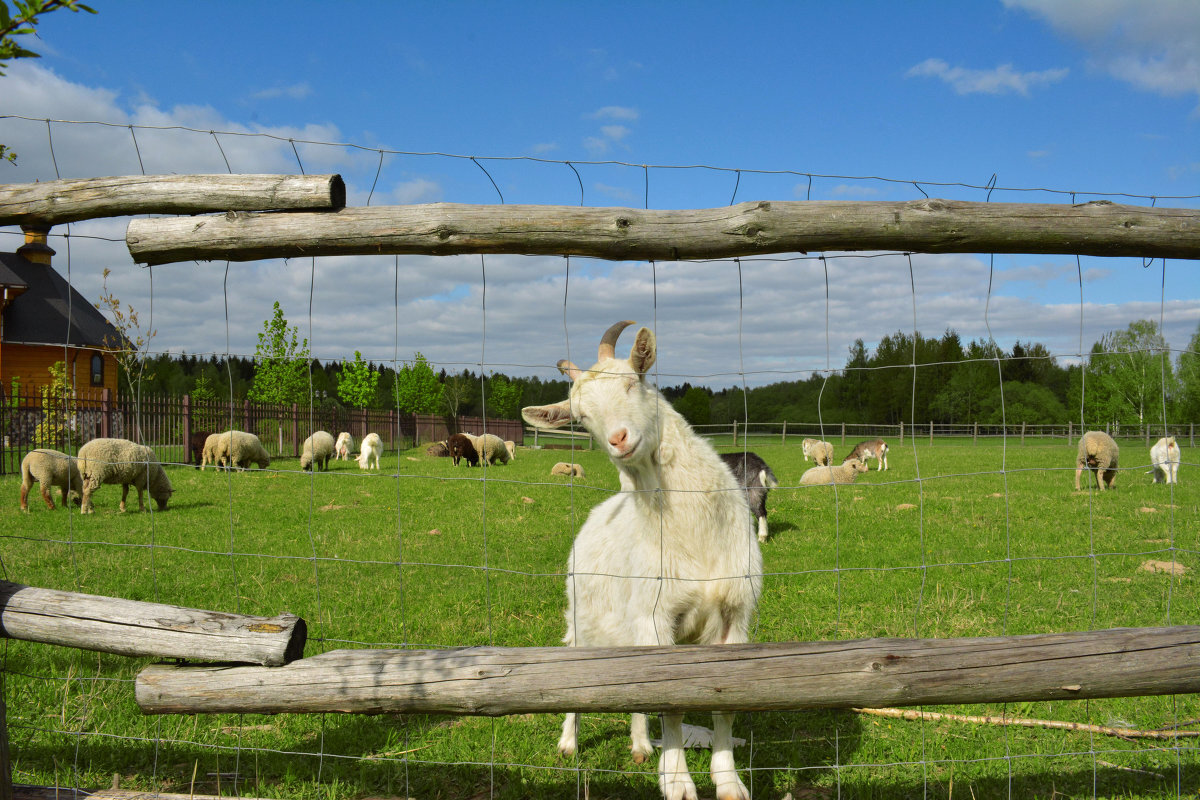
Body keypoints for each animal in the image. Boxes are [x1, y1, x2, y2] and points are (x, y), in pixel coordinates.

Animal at [523, 319, 763, 800]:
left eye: (633, 381)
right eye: (580, 416)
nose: (619, 440)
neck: (694, 532)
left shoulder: (734, 613)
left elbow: (724, 704)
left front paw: (728, 781)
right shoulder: (655, 618)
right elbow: (670, 704)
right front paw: (679, 783)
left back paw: (639, 745)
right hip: (582, 618)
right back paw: (569, 743)